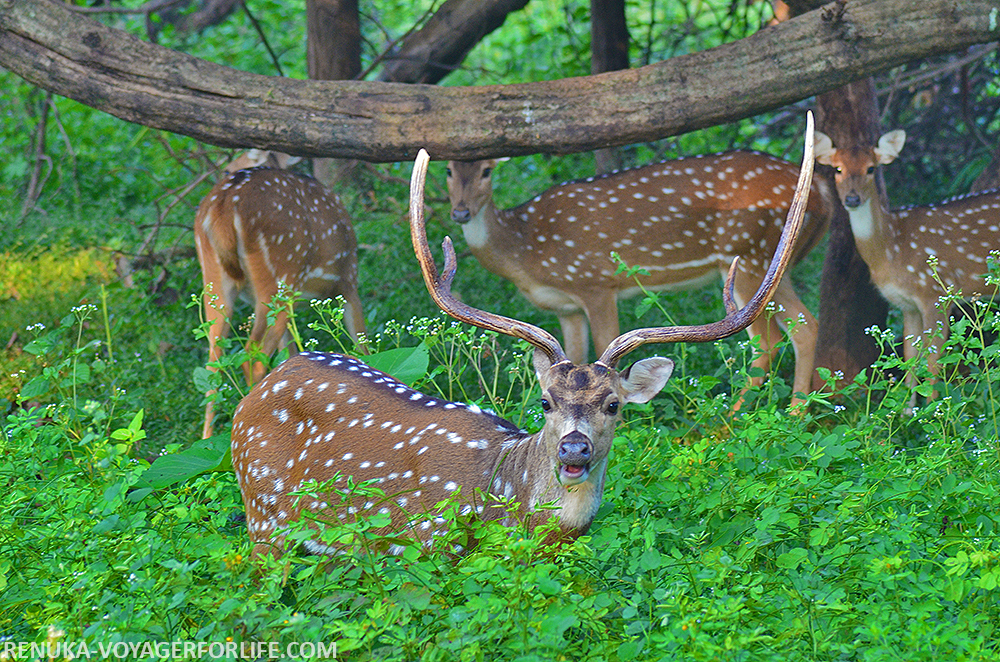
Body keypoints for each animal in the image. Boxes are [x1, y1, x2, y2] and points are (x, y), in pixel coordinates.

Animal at [193, 151, 366, 440]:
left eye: (228, 166)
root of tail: (223, 207)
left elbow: (290, 353)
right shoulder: (348, 280)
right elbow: (361, 343)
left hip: (215, 280)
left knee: (213, 361)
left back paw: (207, 439)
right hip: (279, 274)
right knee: (252, 355)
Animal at [448, 145, 836, 404]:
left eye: (487, 171)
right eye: (449, 171)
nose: (460, 212)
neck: (525, 248)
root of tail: (822, 193)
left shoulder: (595, 282)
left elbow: (607, 350)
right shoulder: (565, 308)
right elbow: (569, 359)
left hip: (747, 254)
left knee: (770, 340)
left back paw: (742, 417)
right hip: (773, 264)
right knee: (804, 326)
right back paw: (795, 410)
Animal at [812, 130, 1000, 386]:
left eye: (871, 169)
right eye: (838, 169)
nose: (852, 199)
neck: (891, 249)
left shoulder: (936, 294)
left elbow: (932, 365)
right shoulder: (906, 305)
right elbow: (910, 363)